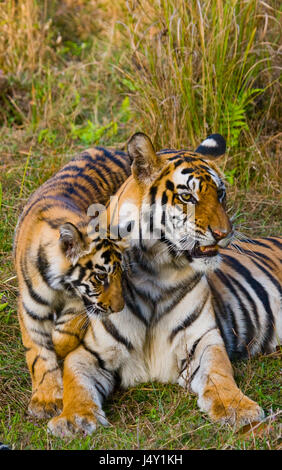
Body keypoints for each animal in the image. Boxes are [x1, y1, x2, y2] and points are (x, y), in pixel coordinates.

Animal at [13, 148, 131, 418]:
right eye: (101, 276)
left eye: (121, 274)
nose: (119, 308)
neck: (58, 285)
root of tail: (119, 150)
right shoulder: (30, 309)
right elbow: (38, 353)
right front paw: (45, 400)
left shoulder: (81, 302)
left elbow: (64, 334)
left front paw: (61, 348)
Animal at [47, 133, 280, 436]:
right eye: (187, 196)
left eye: (220, 194)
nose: (224, 234)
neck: (157, 276)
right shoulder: (88, 351)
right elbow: (75, 384)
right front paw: (73, 419)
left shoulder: (203, 341)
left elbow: (220, 373)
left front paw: (237, 409)